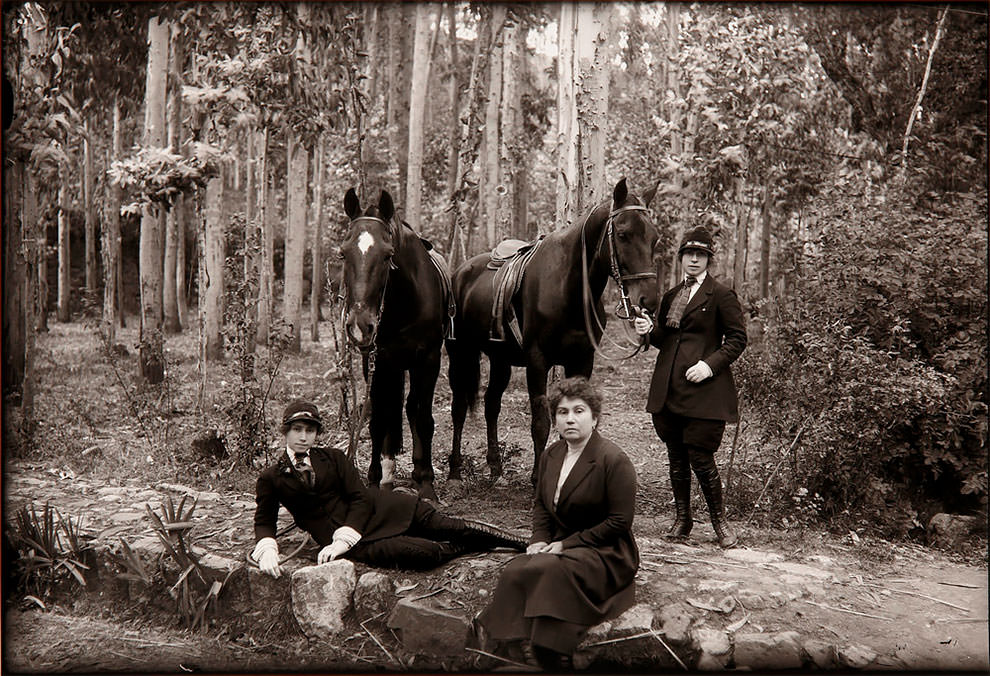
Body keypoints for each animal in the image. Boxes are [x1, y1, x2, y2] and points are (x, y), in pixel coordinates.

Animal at [340, 189, 450, 502]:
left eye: (388, 255)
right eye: (343, 253)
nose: (360, 325)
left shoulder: (428, 359)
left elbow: (422, 417)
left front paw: (426, 483)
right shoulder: (377, 359)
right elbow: (378, 419)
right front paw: (374, 480)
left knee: (412, 409)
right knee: (391, 409)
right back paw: (389, 475)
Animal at [448, 178, 660, 486]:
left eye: (654, 238)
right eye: (623, 234)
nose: (649, 300)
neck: (569, 289)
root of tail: (459, 272)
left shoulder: (581, 360)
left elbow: (571, 417)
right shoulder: (537, 361)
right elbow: (541, 422)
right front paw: (538, 477)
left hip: (500, 360)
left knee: (491, 404)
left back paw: (496, 468)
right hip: (460, 354)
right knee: (459, 407)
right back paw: (454, 470)